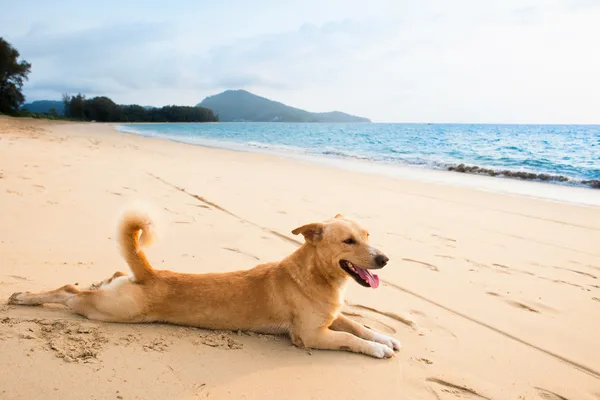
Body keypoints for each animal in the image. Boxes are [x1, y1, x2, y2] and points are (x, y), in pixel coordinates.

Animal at [7, 211, 400, 358]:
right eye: (349, 241)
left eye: (368, 235)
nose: (384, 259)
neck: (315, 275)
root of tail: (149, 274)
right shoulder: (311, 336)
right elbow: (350, 338)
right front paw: (376, 349)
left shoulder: (332, 317)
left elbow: (359, 326)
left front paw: (384, 337)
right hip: (106, 311)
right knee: (68, 293)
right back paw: (24, 297)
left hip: (113, 295)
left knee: (101, 281)